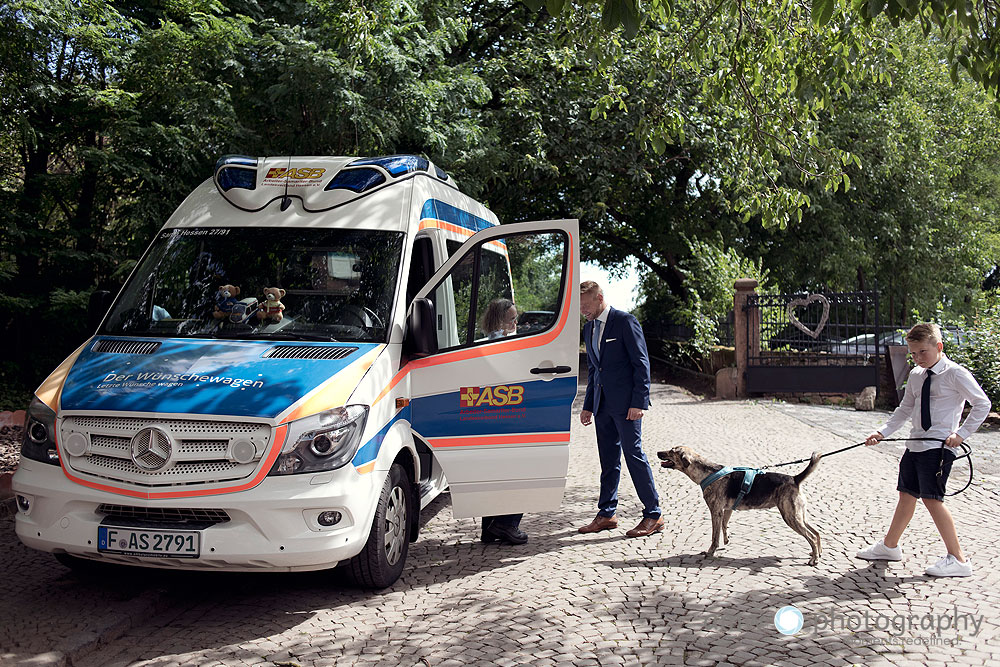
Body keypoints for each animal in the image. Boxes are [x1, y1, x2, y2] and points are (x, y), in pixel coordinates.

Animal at [656, 446, 820, 568]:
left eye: (671, 451)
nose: (658, 452)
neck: (707, 472)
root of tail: (795, 479)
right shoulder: (727, 510)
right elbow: (724, 526)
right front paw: (726, 540)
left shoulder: (715, 511)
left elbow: (714, 536)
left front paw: (710, 552)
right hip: (799, 515)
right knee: (817, 533)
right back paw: (816, 554)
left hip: (790, 516)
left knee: (811, 536)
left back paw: (814, 559)